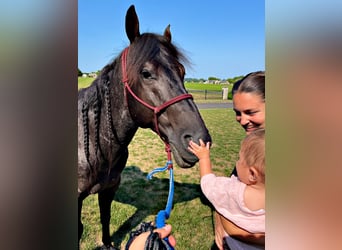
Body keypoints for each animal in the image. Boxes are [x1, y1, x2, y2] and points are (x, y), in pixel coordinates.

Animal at [78, 4, 211, 249]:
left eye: (182, 72)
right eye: (146, 73)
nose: (199, 139)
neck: (92, 139)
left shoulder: (109, 188)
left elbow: (105, 217)